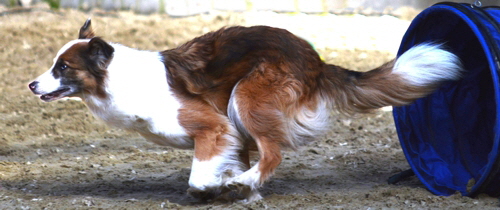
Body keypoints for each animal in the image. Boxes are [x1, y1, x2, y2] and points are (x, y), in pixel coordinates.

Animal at [29, 19, 462, 202]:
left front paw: (221, 189)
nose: (32, 85)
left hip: (246, 99)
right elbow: (227, 164)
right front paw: (240, 191)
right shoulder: (231, 136)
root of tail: (315, 59)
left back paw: (247, 180)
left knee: (274, 153)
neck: (119, 79)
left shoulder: (215, 127)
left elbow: (200, 177)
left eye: (62, 67)